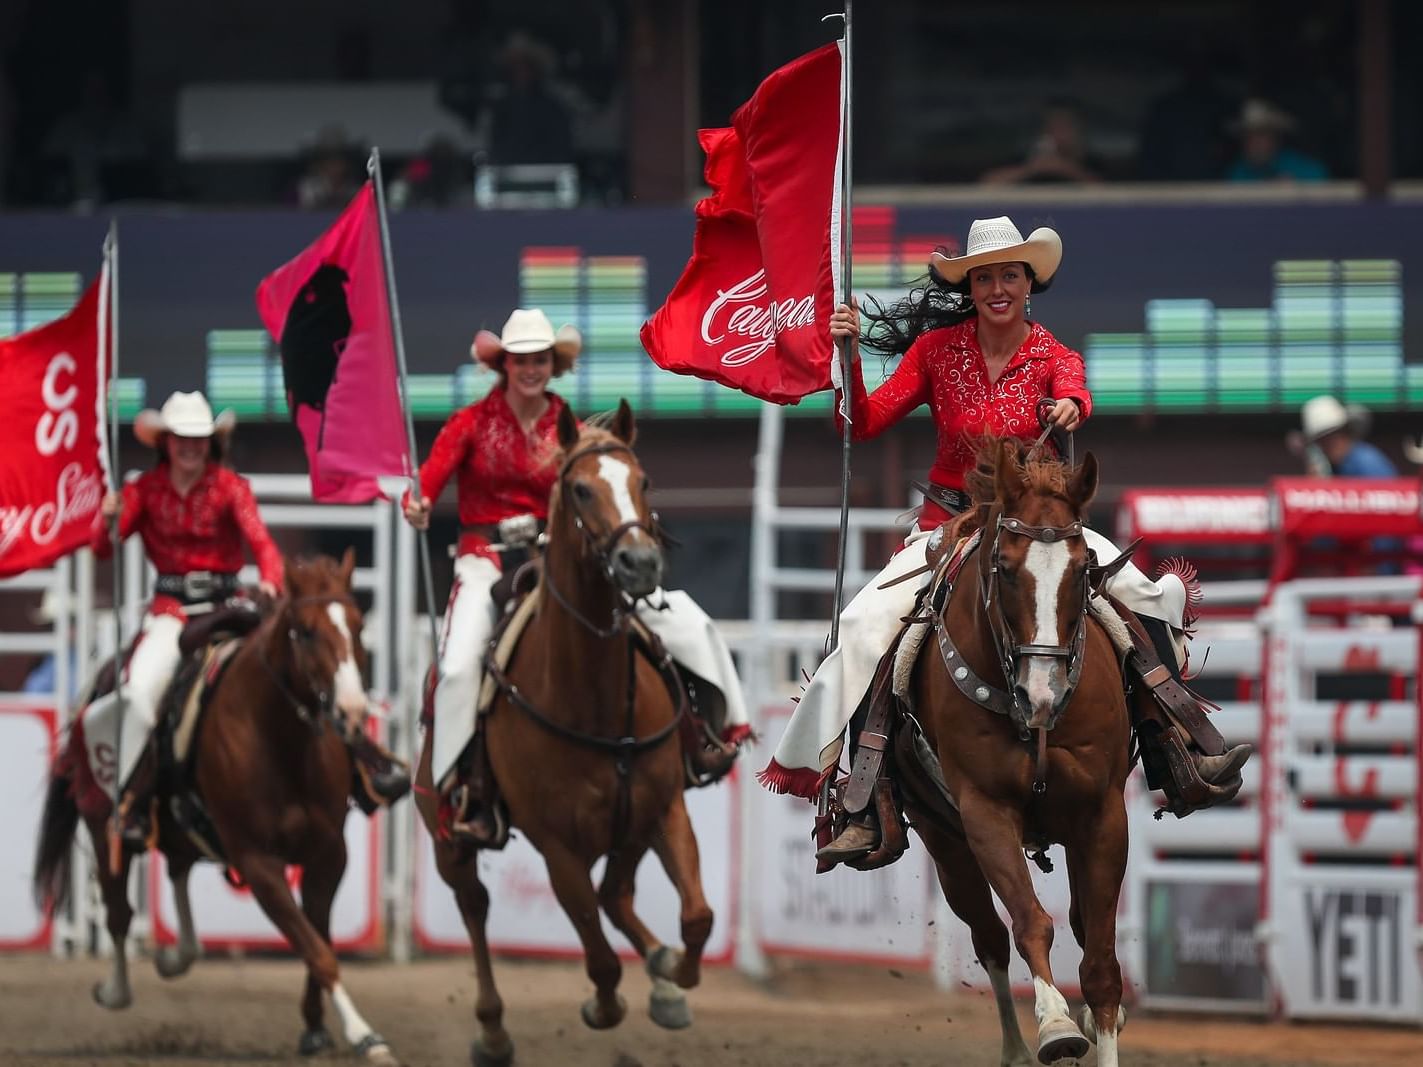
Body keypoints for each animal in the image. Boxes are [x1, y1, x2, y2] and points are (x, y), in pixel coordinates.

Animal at [29, 551, 406, 1067]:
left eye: (358, 624)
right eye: (305, 631)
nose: (350, 711)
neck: (281, 742)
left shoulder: (330, 855)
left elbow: (319, 938)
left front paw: (315, 1027)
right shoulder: (258, 863)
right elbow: (316, 948)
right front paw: (364, 1034)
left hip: (182, 831)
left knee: (177, 874)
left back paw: (175, 956)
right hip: (104, 827)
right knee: (119, 912)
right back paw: (115, 990)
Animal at [418, 401, 711, 1067]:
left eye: (643, 481)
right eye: (580, 488)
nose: (640, 564)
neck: (592, 701)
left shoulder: (662, 808)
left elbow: (696, 917)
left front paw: (673, 976)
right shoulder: (557, 845)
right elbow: (600, 959)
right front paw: (605, 1007)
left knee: (617, 898)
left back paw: (662, 978)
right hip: (448, 839)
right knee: (475, 906)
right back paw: (493, 1031)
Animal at [910, 435, 1132, 1067]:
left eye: (1084, 570)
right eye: (1005, 569)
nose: (1043, 693)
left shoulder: (1103, 814)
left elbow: (1101, 966)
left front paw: (1095, 1019)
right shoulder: (984, 812)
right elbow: (1031, 922)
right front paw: (1055, 1025)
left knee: (1080, 925)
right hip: (944, 842)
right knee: (988, 936)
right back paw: (1016, 1045)